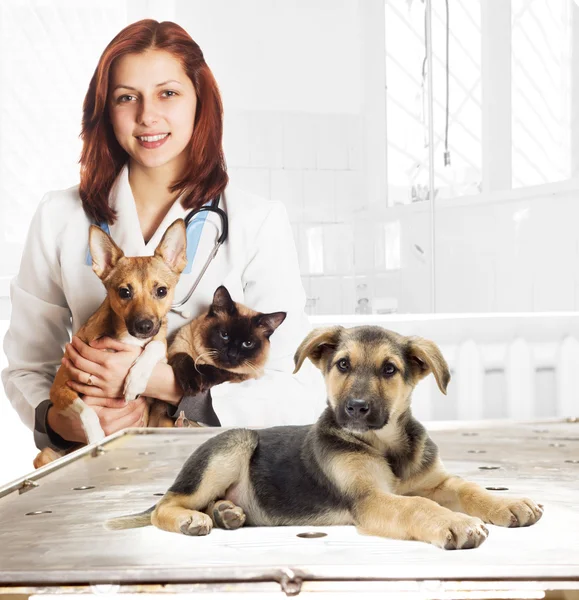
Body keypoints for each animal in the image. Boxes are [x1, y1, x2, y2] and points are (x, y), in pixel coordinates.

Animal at [107, 328, 544, 548]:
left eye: (389, 370)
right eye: (343, 365)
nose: (356, 408)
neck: (387, 446)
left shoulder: (436, 481)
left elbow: (469, 487)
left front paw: (508, 503)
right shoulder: (369, 498)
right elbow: (416, 505)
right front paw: (454, 522)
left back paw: (227, 512)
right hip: (233, 443)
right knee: (166, 504)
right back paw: (192, 519)